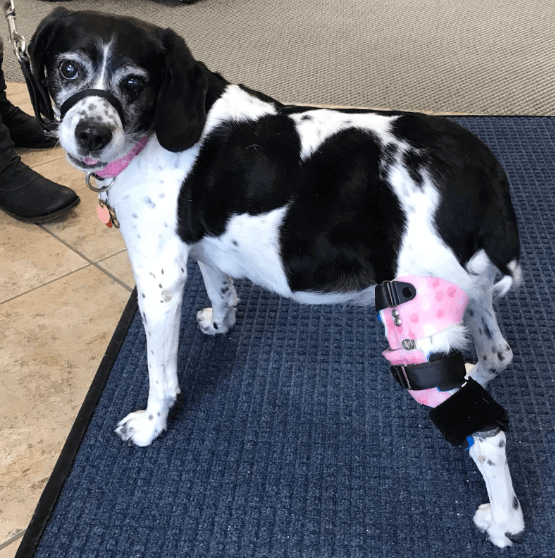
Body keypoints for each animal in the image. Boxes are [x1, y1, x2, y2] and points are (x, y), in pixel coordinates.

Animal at [29, 8, 524, 548]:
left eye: (135, 83)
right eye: (68, 69)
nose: (90, 134)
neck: (154, 131)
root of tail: (483, 172)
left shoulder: (158, 284)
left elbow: (161, 377)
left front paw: (151, 426)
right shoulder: (200, 249)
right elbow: (220, 287)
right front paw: (220, 321)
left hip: (417, 330)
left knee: (489, 437)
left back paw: (504, 522)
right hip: (469, 298)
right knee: (497, 355)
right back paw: (481, 373)